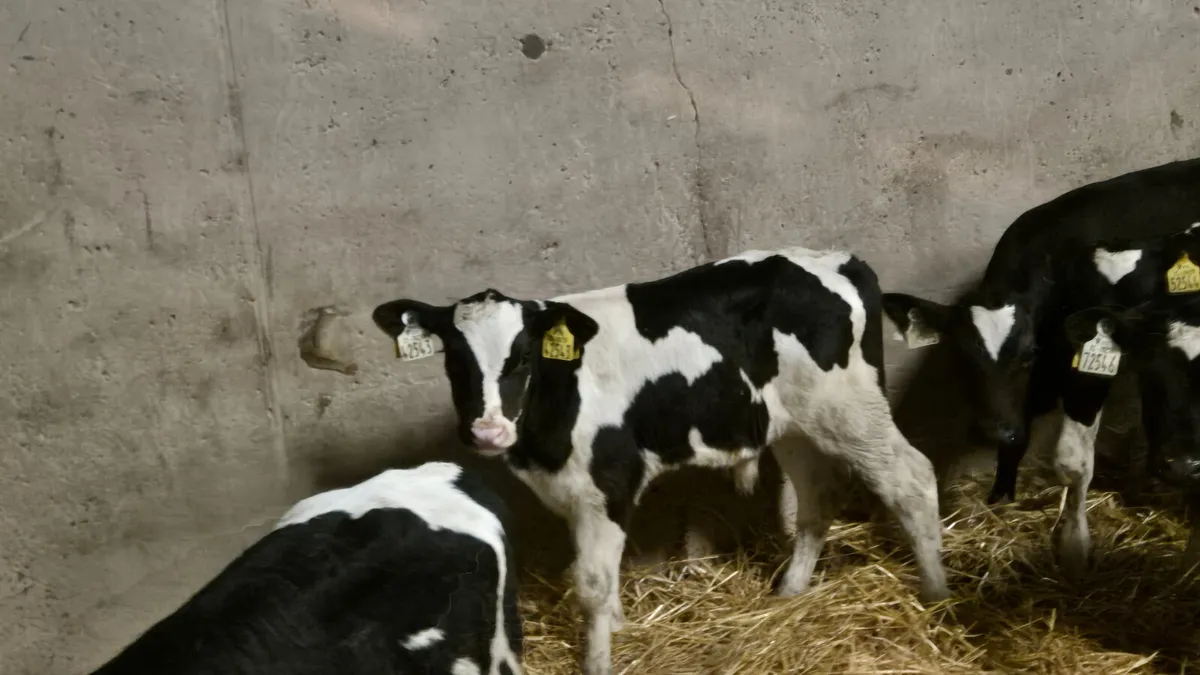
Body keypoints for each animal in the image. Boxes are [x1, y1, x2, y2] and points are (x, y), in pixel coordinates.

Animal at [372, 246, 951, 675]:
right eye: (454, 357)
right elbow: (599, 574)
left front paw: (598, 662)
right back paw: (790, 592)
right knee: (817, 497)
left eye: (523, 357)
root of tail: (837, 259)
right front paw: (621, 630)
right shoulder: (573, 489)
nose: (487, 429)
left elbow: (591, 582)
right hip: (794, 423)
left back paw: (938, 596)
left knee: (912, 478)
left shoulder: (609, 479)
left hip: (850, 408)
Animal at [881, 157, 1200, 509]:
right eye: (959, 354)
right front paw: (1001, 497)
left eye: (1027, 353)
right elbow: (1016, 442)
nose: (993, 431)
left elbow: (1074, 454)